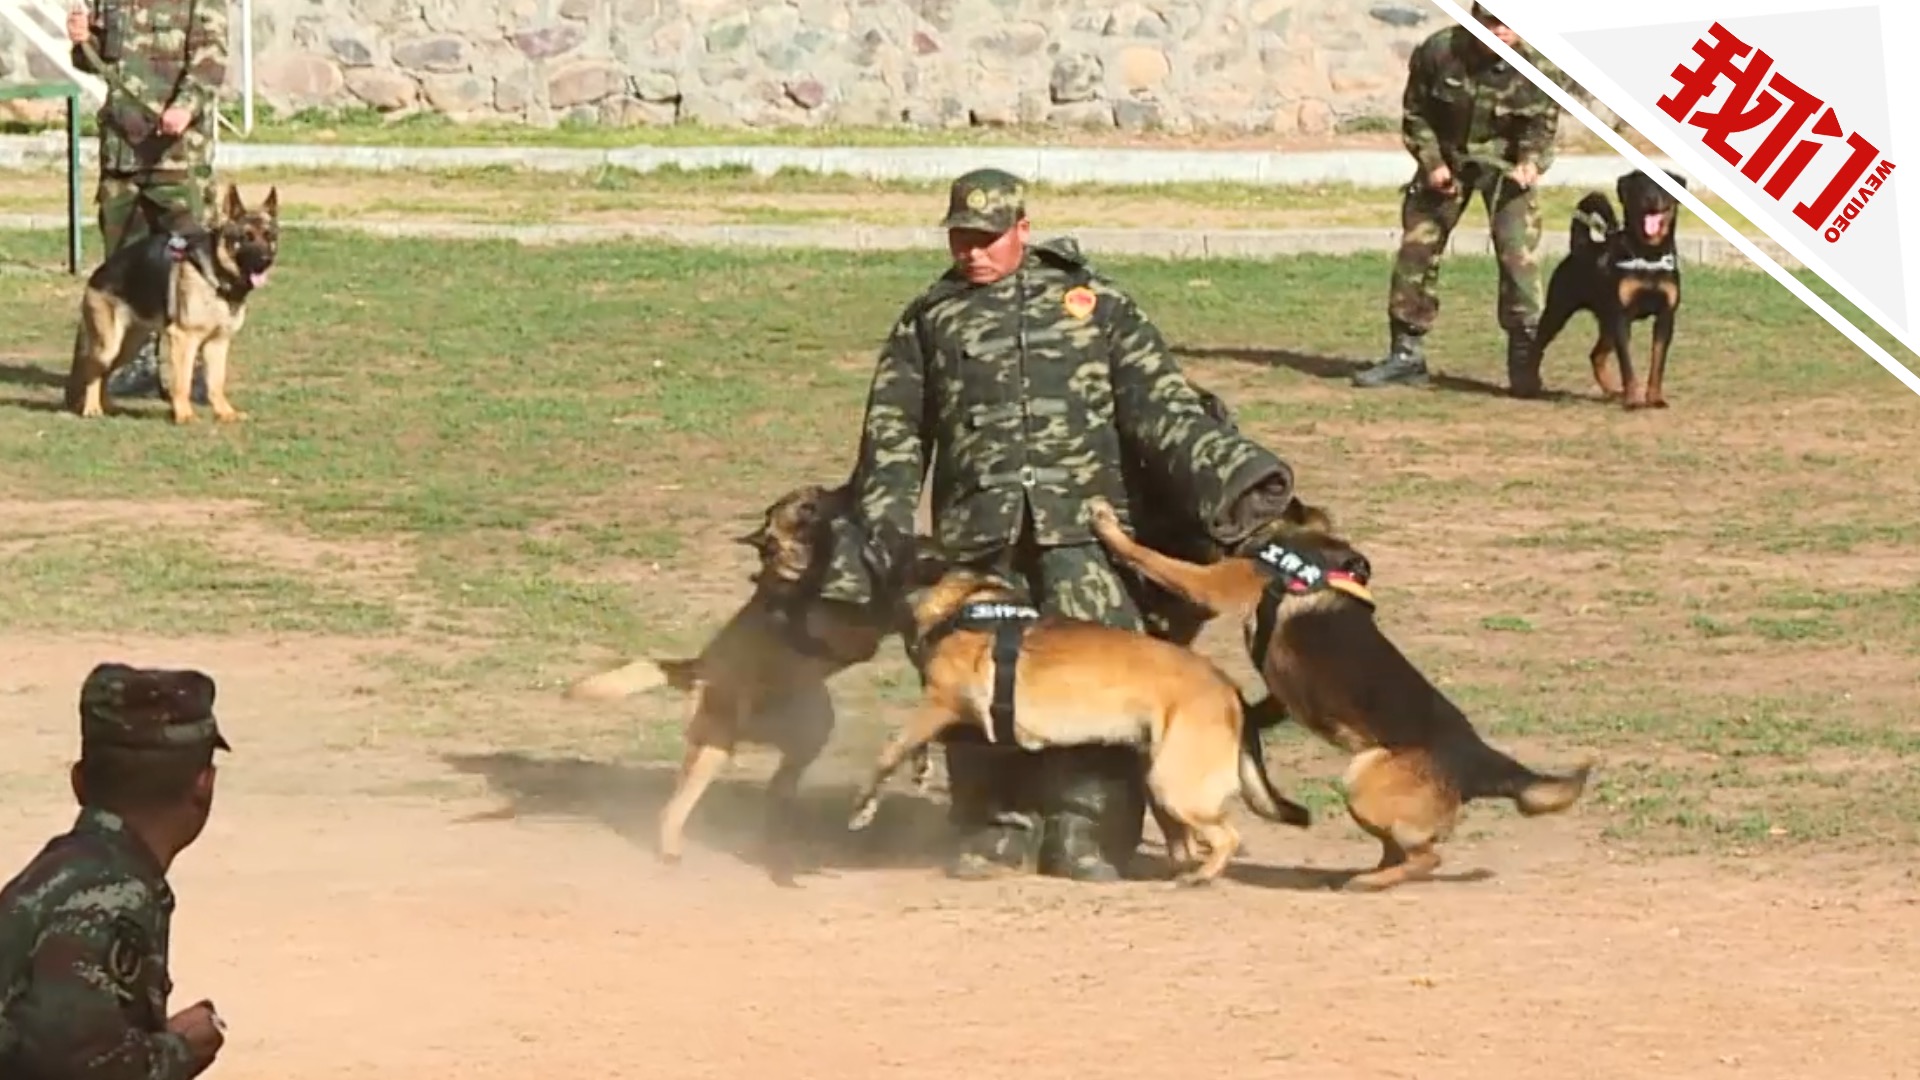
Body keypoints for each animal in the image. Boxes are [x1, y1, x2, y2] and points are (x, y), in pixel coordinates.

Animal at [66, 182, 280, 422]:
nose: (266, 261)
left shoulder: (218, 343)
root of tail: (97, 274)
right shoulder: (184, 338)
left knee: (106, 372)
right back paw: (92, 408)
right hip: (107, 346)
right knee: (92, 370)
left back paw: (106, 406)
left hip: (129, 347)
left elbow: (216, 383)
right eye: (246, 237)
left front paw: (225, 413)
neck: (216, 274)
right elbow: (182, 383)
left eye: (269, 236)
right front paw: (185, 415)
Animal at [1090, 495, 1597, 891]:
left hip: (1363, 779)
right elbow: (1258, 710)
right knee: (1403, 851)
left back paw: (1369, 882)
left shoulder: (1216, 584)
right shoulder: (1279, 693)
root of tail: (1477, 760)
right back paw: (1366, 874)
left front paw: (1109, 528)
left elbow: (1156, 560)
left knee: (1428, 857)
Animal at [1520, 168, 1689, 407]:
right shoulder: (1622, 316)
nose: (1651, 199)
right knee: (1537, 347)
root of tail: (1582, 245)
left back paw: (1611, 392)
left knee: (1596, 355)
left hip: (1606, 321)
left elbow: (1658, 364)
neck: (1648, 254)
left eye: (1662, 187)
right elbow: (1627, 365)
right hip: (1558, 310)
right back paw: (1527, 385)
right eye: (1640, 188)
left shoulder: (1665, 316)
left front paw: (1654, 398)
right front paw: (1633, 400)